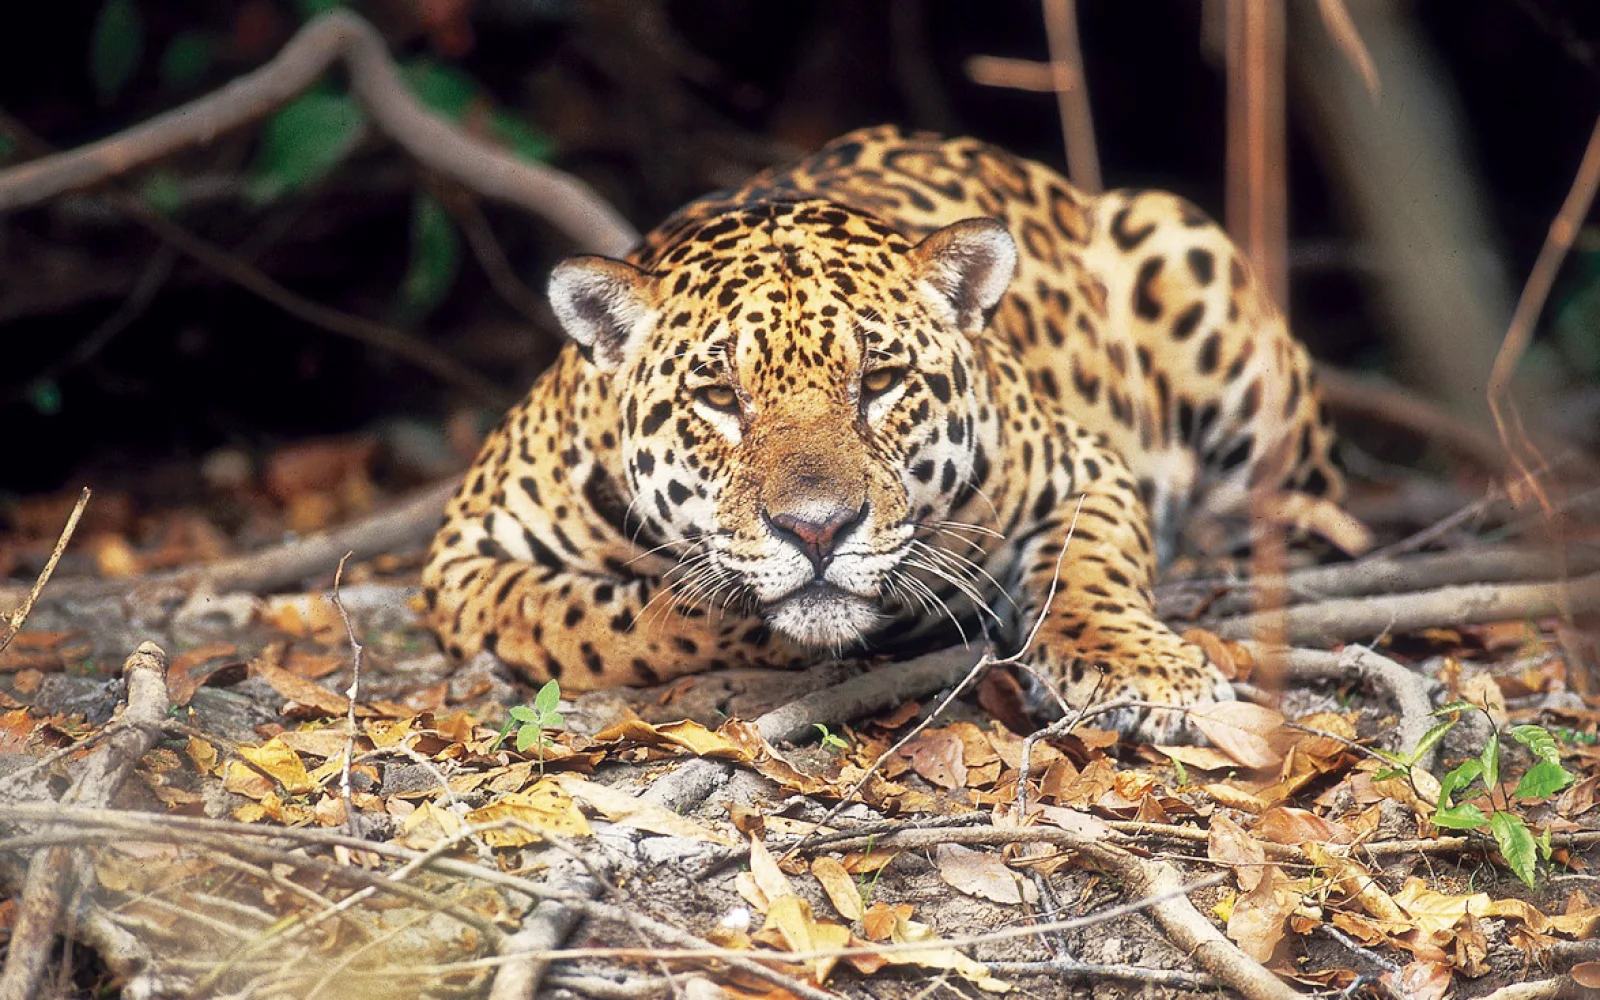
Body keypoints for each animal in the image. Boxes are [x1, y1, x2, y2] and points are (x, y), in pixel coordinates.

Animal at [420, 126, 1361, 743]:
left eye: (878, 382)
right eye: (719, 396)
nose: (817, 531)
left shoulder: (1081, 466)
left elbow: (1089, 571)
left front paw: (1142, 666)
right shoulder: (460, 567)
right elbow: (629, 617)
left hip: (1188, 256)